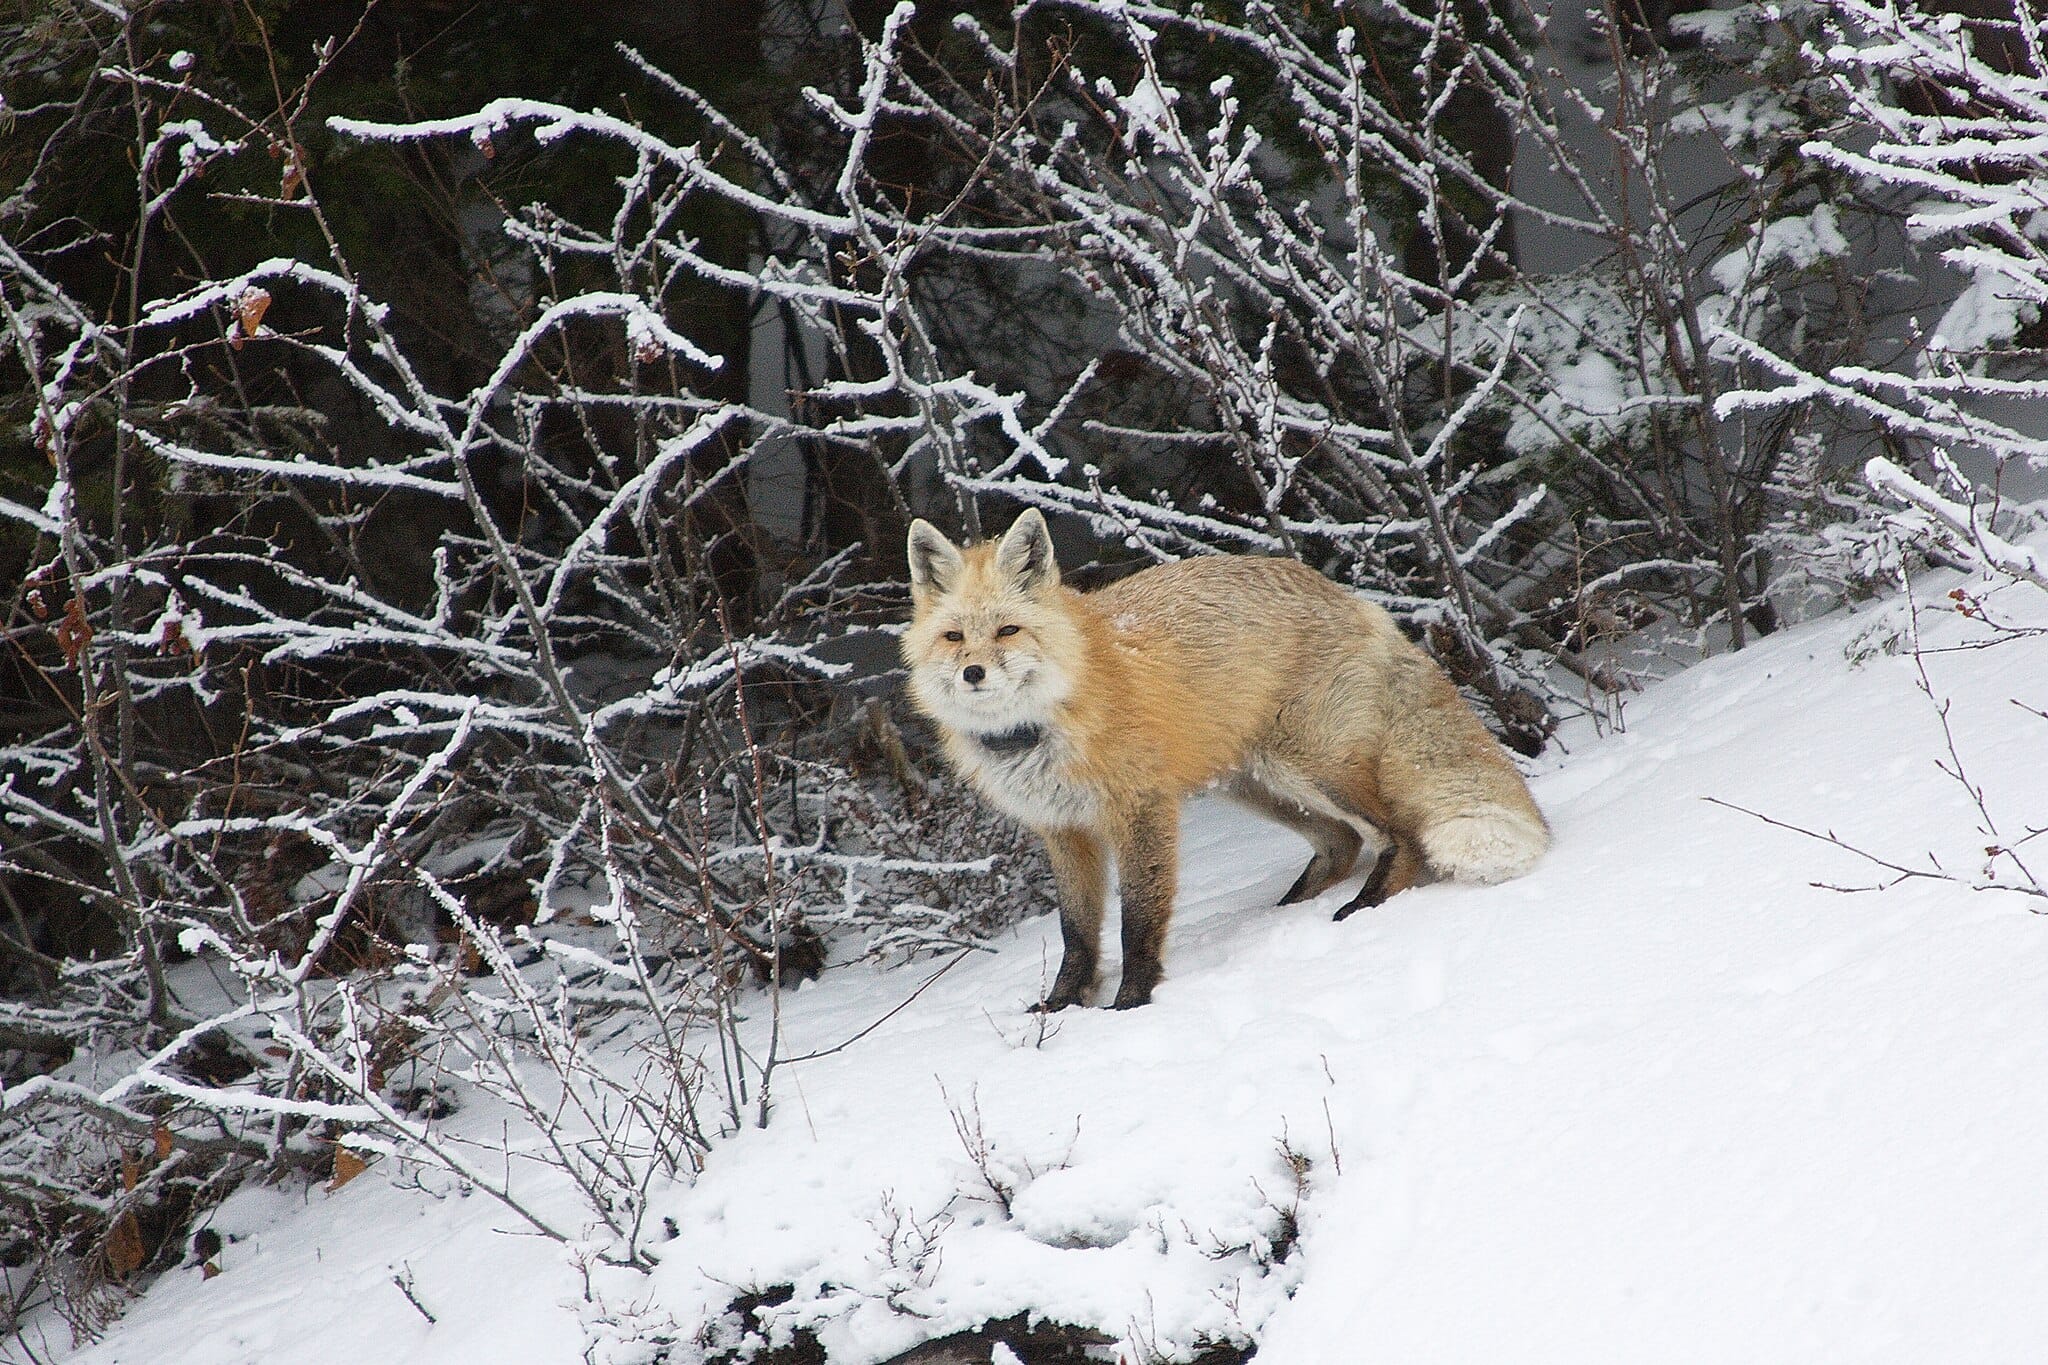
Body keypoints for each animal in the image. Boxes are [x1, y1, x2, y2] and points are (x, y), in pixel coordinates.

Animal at [902, 509, 1549, 1010]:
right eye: (954, 638)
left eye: (1008, 631)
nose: (973, 673)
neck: (1044, 723)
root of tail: (1345, 594)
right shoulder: (1063, 830)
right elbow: (1076, 935)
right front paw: (1060, 1007)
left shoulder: (1141, 810)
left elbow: (1138, 921)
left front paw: (1130, 1004)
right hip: (1254, 784)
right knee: (1341, 842)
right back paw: (1285, 912)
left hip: (1308, 765)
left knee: (1399, 832)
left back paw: (1365, 906)